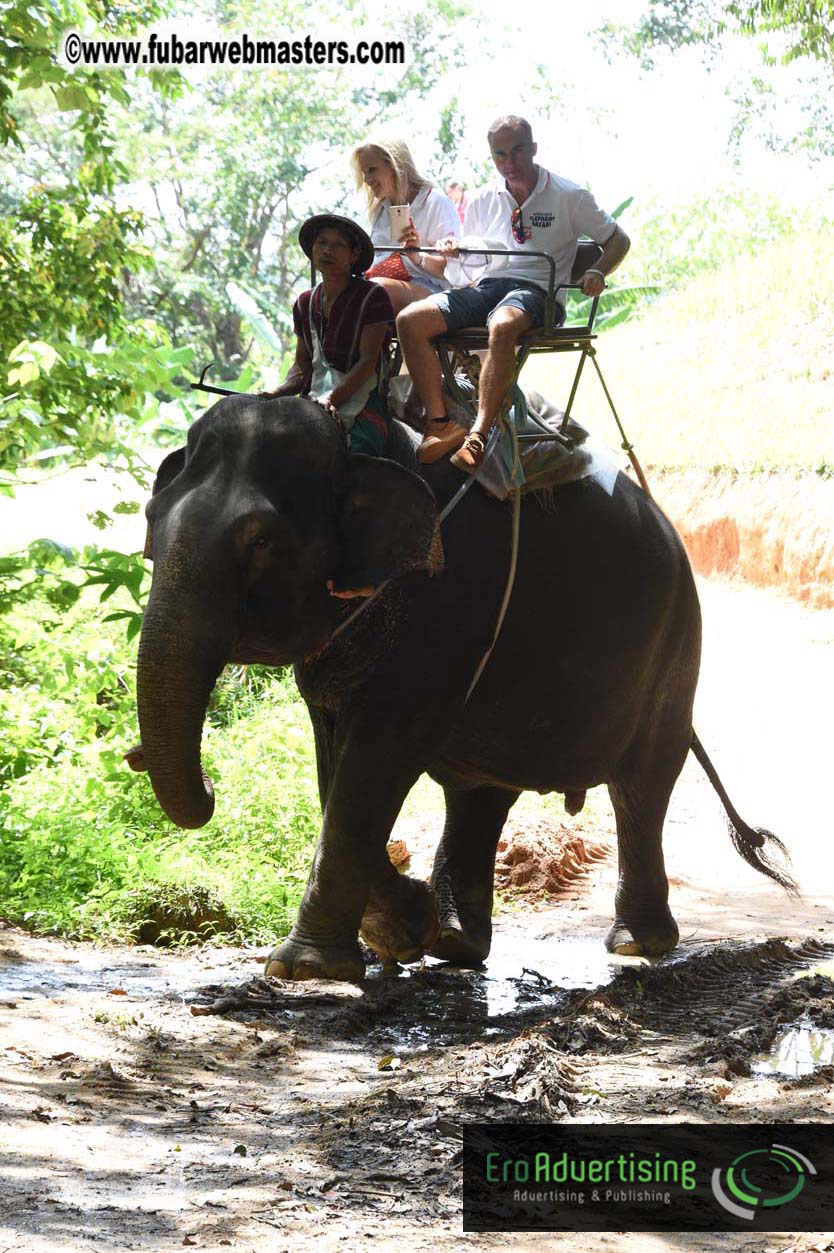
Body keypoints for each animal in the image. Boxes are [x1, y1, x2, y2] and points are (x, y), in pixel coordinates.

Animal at [135, 393, 793, 982]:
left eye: (261, 540)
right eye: (149, 521)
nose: (212, 786)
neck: (359, 443)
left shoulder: (445, 605)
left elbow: (376, 756)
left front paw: (305, 967)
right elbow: (334, 760)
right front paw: (404, 931)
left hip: (676, 644)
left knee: (643, 783)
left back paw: (637, 944)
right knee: (480, 793)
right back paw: (456, 946)